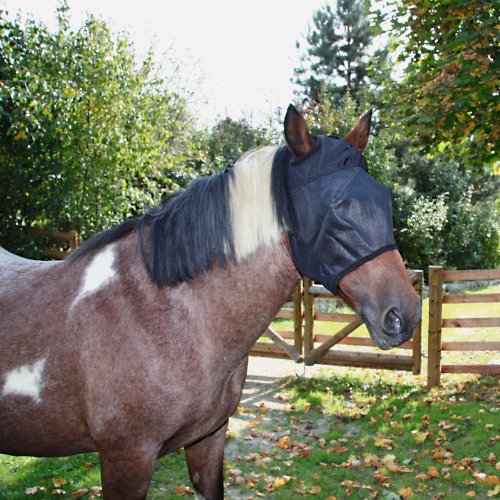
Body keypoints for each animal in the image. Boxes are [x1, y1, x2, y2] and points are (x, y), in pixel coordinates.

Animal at [0, 103, 422, 498]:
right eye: (334, 205)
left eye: (384, 198)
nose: (404, 315)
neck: (167, 315)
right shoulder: (127, 456)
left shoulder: (210, 437)